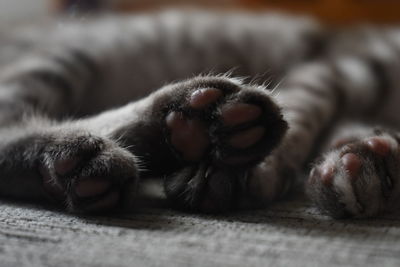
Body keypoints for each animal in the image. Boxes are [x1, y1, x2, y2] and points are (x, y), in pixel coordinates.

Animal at [0, 10, 398, 220]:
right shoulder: (339, 66)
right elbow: (300, 116)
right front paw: (260, 171)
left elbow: (351, 130)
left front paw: (371, 162)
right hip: (78, 54)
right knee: (9, 130)